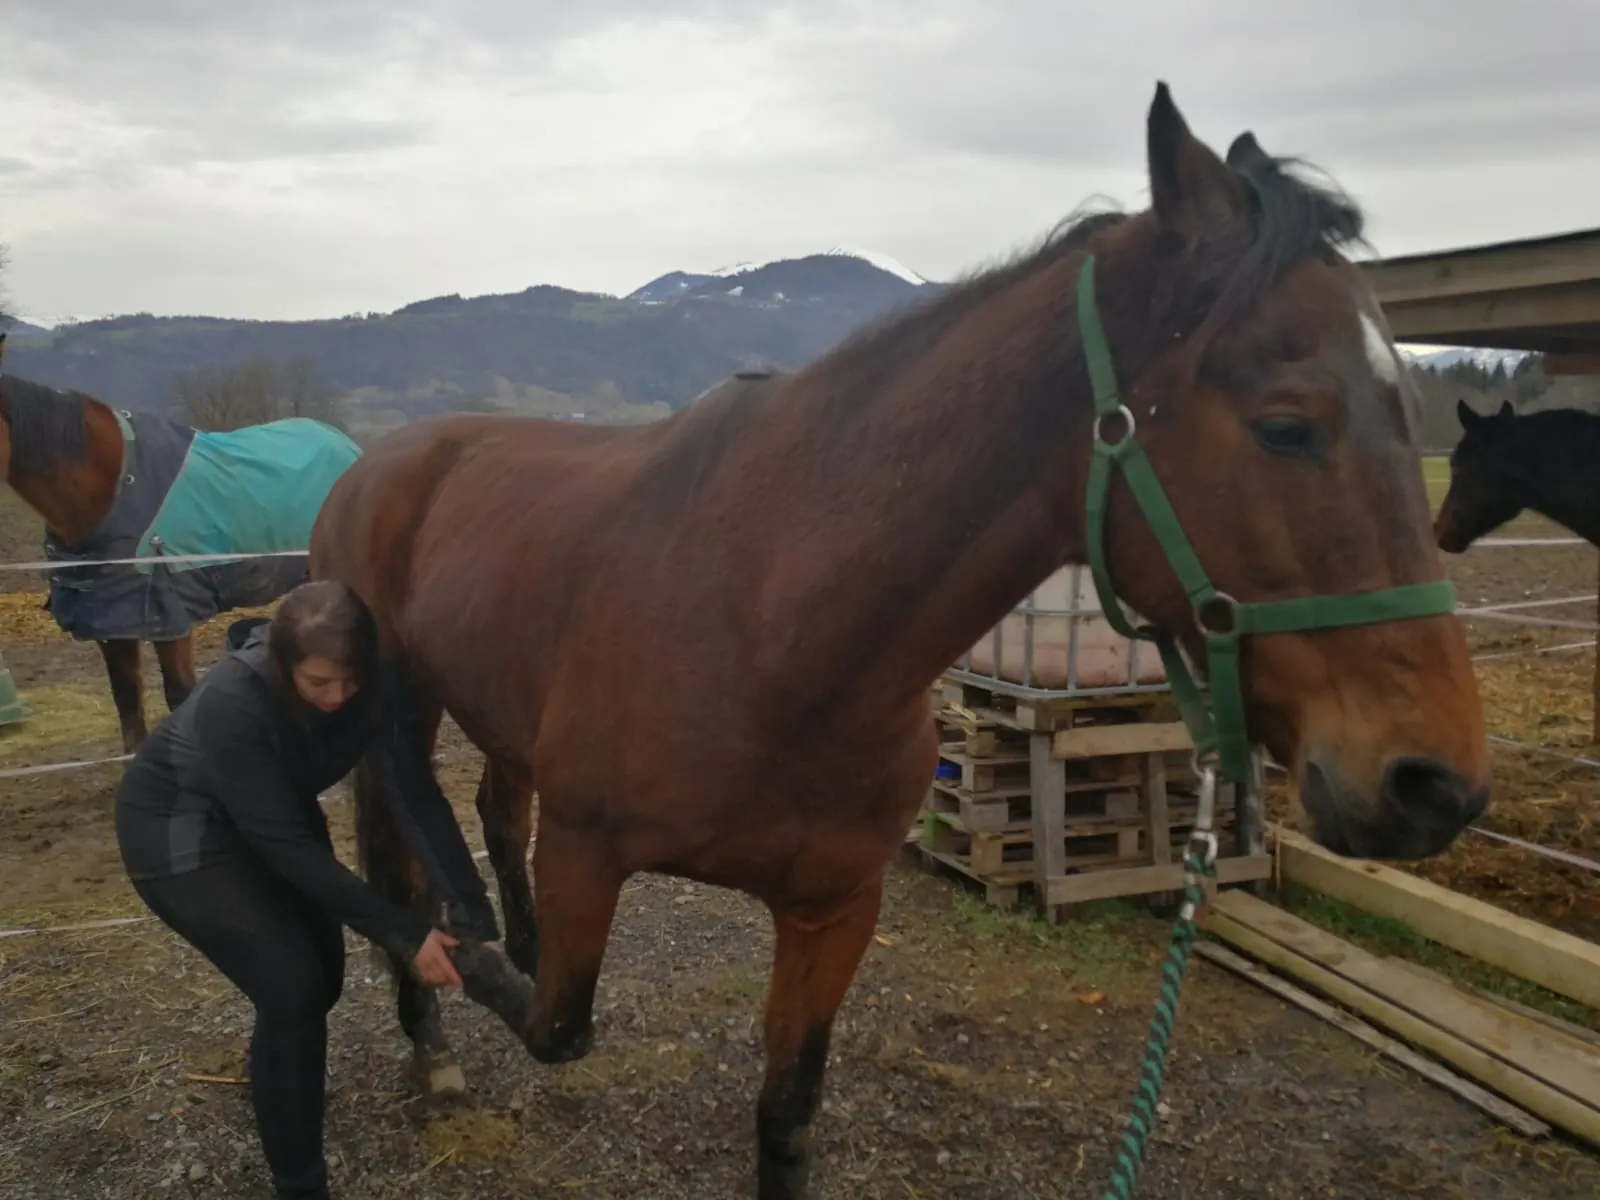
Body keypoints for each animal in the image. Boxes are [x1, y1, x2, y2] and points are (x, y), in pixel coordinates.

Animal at [309, 84, 1489, 1199]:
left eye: (1410, 416)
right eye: (1286, 426)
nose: (1436, 785)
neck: (775, 624)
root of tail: (381, 461)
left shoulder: (834, 908)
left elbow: (786, 1110)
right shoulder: (588, 856)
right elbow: (554, 1023)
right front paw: (469, 965)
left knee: (493, 812)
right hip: (398, 708)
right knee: (400, 854)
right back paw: (432, 1031)